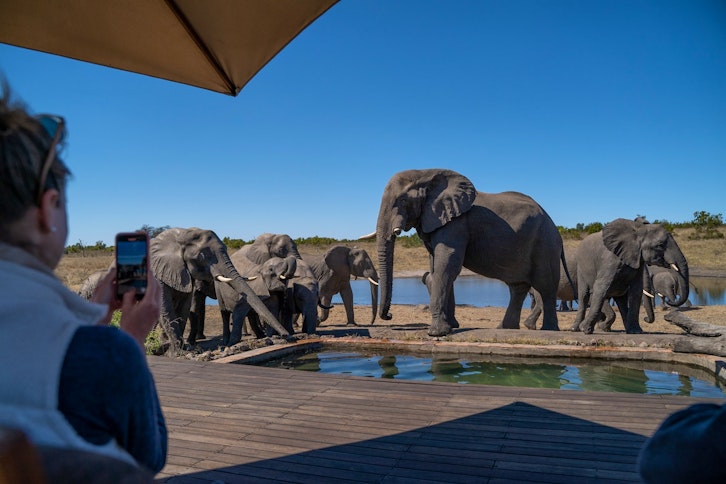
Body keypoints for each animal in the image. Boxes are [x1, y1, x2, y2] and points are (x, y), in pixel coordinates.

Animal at [149, 227, 289, 347]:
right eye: (202, 256)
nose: (286, 336)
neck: (180, 235)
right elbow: (169, 308)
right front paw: (180, 346)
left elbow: (184, 307)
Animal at [362, 168, 566, 337]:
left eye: (403, 200)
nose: (389, 315)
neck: (426, 174)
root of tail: (555, 227)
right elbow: (438, 266)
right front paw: (452, 326)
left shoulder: (457, 224)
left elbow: (447, 265)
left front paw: (437, 333)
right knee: (517, 286)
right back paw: (505, 328)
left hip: (545, 243)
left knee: (545, 285)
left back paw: (549, 330)